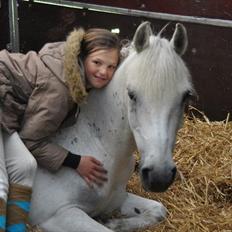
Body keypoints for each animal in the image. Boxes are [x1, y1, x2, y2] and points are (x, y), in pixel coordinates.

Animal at [29, 21, 195, 230]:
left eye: (185, 96)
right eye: (131, 94)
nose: (159, 177)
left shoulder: (117, 198)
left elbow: (158, 210)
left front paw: (112, 222)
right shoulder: (56, 215)